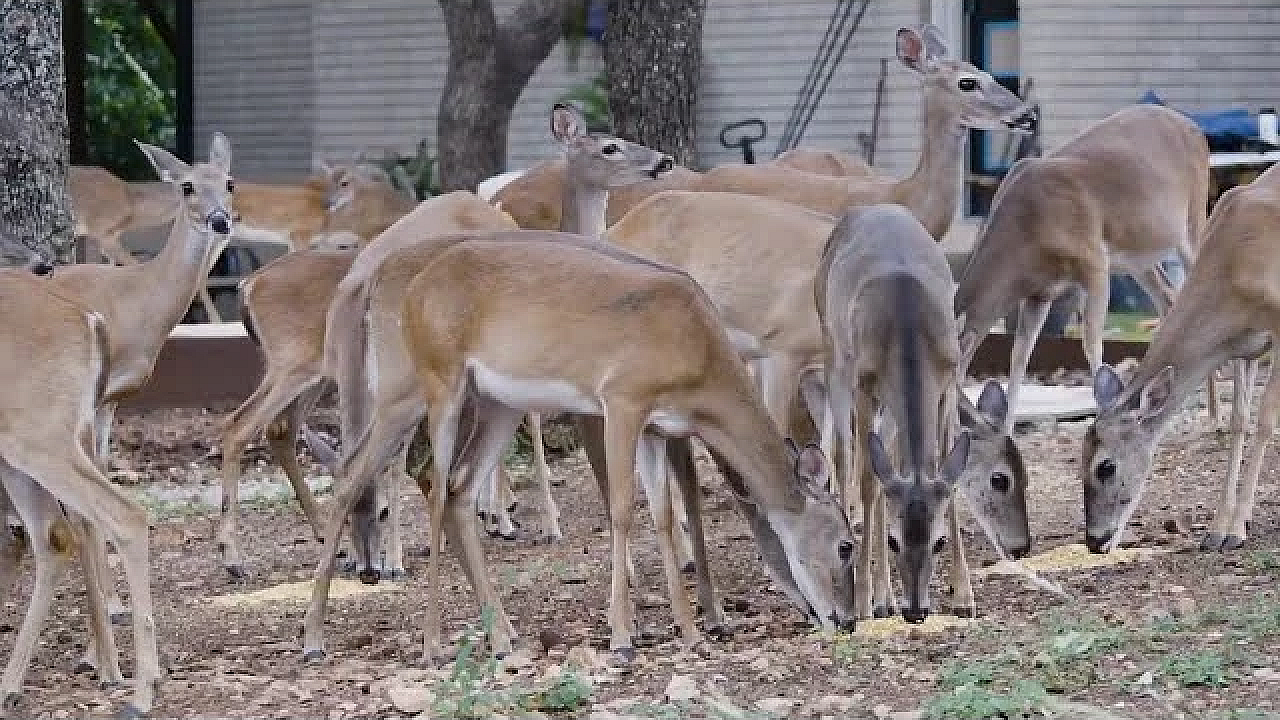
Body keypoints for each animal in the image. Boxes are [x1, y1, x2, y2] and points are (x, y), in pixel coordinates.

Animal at [953, 103, 1212, 434]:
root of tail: (1193, 126)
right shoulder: (1040, 291)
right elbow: (1019, 354)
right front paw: (1008, 430)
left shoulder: (1094, 262)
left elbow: (1092, 345)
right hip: (1138, 259)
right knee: (1169, 298)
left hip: (1193, 221)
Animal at [1080, 160, 1280, 556]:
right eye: (1078, 464)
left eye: (1105, 467)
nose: (1094, 541)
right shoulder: (1244, 347)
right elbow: (1239, 422)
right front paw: (1220, 529)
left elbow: (1265, 421)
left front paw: (1237, 527)